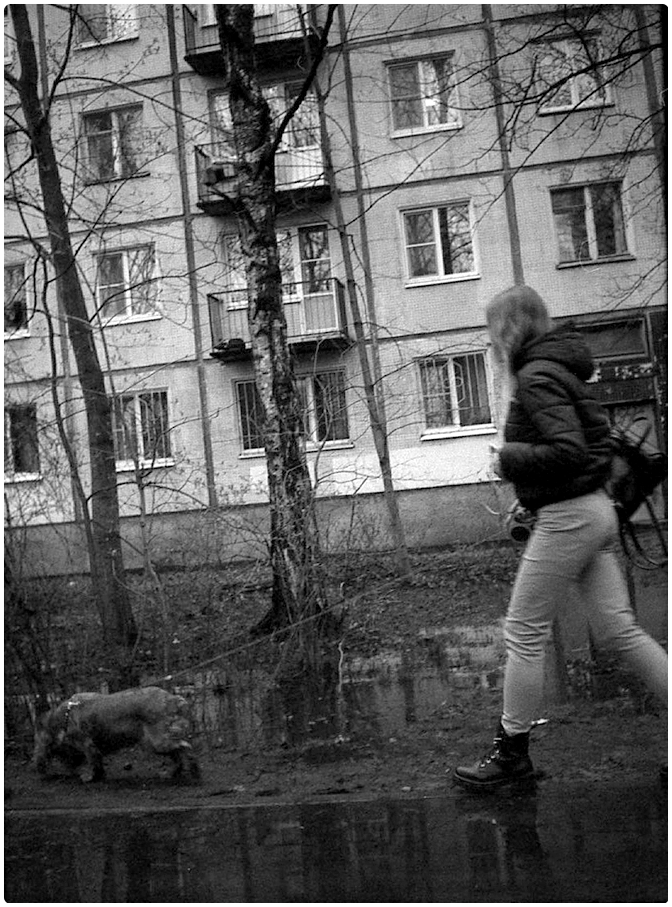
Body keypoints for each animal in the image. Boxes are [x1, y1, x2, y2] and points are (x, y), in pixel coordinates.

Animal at [31, 687, 200, 783]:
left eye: (37, 746)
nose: (36, 767)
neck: (62, 719)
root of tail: (173, 699)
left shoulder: (87, 744)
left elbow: (93, 761)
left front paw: (89, 777)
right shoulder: (93, 748)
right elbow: (98, 763)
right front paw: (99, 776)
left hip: (157, 741)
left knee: (186, 748)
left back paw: (194, 769)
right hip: (153, 742)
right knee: (178, 753)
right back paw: (172, 773)